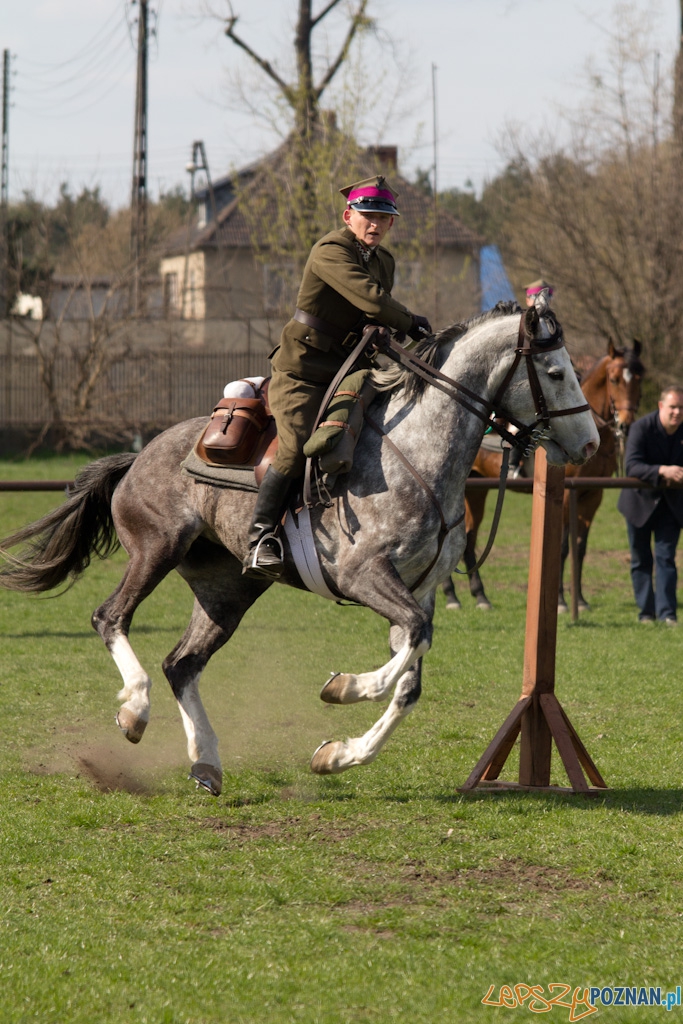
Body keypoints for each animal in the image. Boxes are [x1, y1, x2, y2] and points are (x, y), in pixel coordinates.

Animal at [0, 299, 598, 794]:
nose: (591, 443)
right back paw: (135, 711)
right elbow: (408, 646)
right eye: (555, 372)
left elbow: (410, 674)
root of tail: (138, 456)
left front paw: (339, 755)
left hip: (226, 590)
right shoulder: (365, 575)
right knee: (111, 618)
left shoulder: (420, 589)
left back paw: (206, 762)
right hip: (156, 550)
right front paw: (346, 688)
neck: (419, 451)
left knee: (182, 664)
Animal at [444, 344, 647, 610]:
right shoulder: (565, 497)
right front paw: (560, 600)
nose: (625, 425)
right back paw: (451, 596)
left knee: (469, 537)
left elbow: (579, 548)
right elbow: (561, 548)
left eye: (639, 379)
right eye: (614, 380)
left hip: (477, 491)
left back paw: (481, 596)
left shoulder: (593, 496)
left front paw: (581, 601)